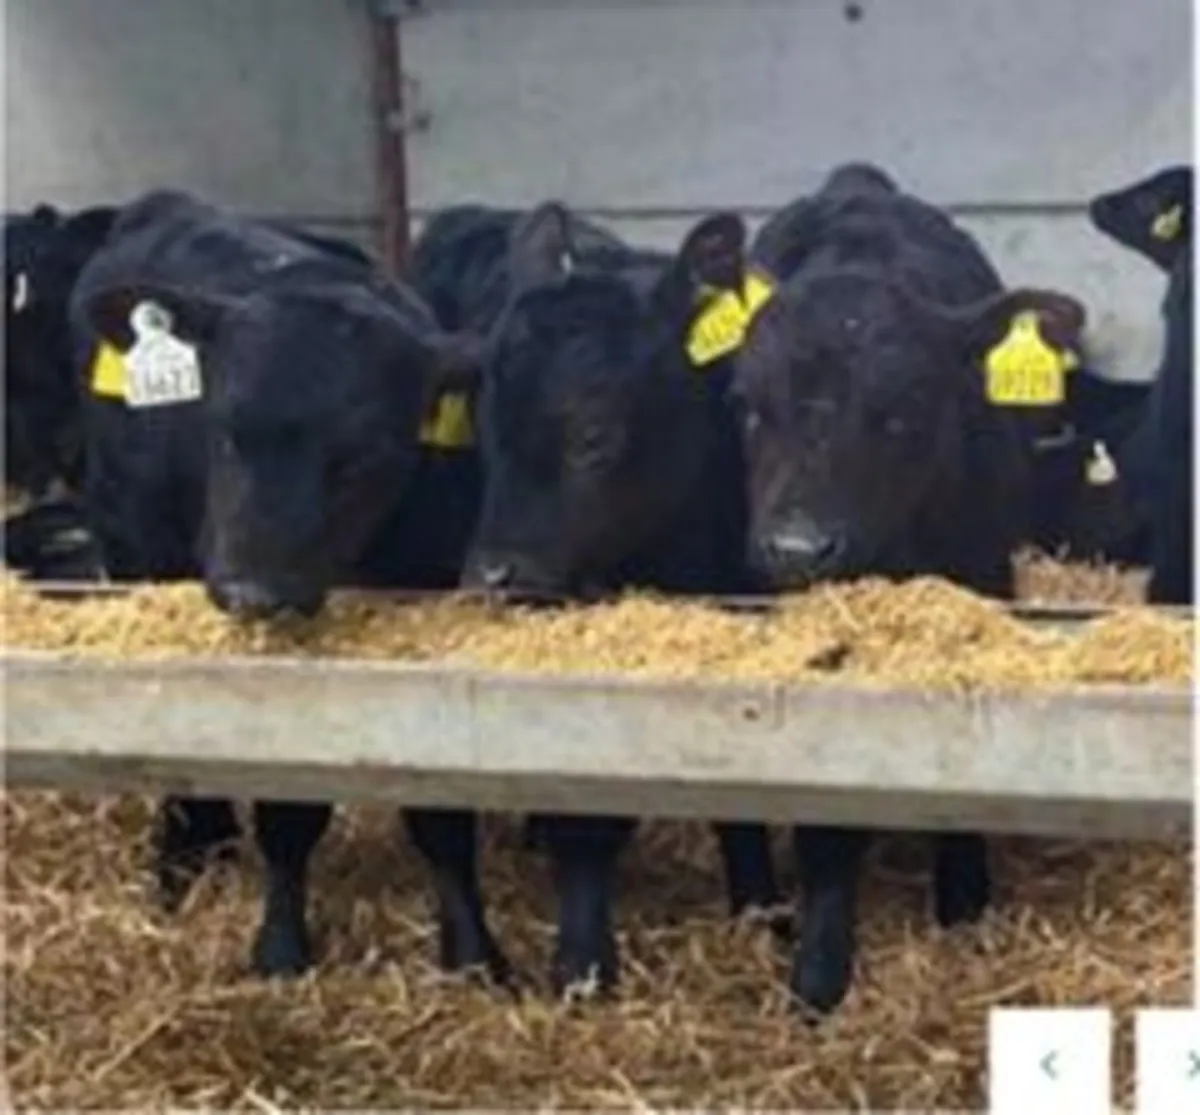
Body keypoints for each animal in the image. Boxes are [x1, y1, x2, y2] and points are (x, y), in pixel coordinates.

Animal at [71, 188, 485, 978]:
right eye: (223, 429)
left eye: (362, 456)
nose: (250, 591)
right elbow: (288, 810)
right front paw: (281, 946)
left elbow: (443, 812)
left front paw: (476, 951)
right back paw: (188, 854)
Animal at [401, 201, 781, 996]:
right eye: (483, 424)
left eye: (593, 434)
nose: (494, 575)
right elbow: (582, 812)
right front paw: (583, 961)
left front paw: (763, 911)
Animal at [729, 162, 1090, 1014]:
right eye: (747, 404)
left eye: (904, 409)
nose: (797, 548)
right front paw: (820, 971)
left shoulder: (985, 578)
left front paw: (964, 905)